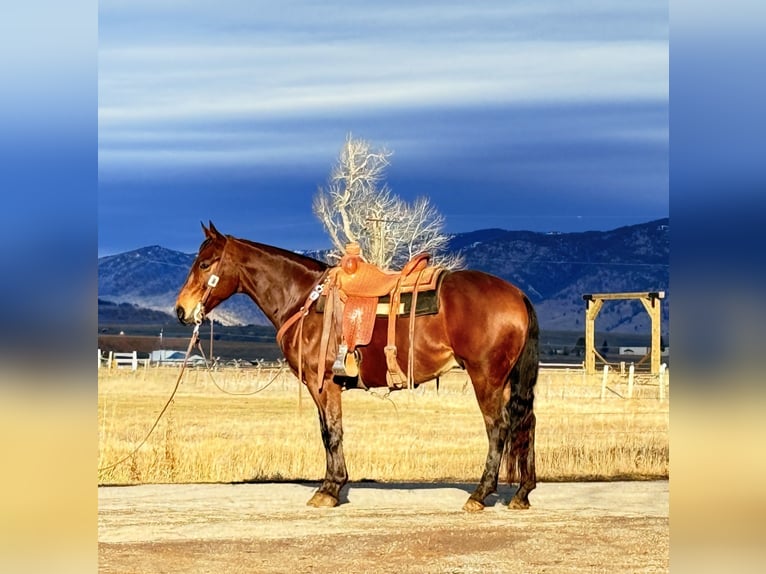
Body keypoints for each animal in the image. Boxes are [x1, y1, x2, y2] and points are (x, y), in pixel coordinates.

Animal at [175, 222, 539, 511]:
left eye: (205, 263)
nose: (181, 310)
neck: (303, 298)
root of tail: (518, 295)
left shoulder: (322, 383)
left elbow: (331, 432)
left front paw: (329, 489)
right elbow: (330, 431)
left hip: (486, 377)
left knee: (498, 428)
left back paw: (480, 494)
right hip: (508, 380)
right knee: (526, 424)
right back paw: (522, 493)